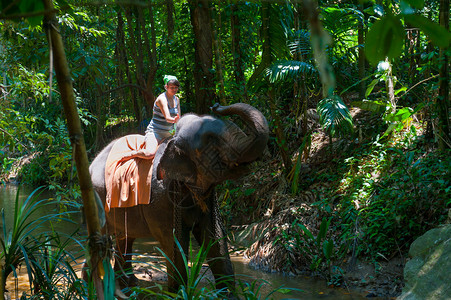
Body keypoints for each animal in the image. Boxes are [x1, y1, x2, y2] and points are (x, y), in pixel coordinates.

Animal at [90, 103, 270, 292]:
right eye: (212, 144)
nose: (216, 105)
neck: (173, 141)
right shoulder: (158, 201)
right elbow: (174, 242)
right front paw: (177, 293)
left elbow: (216, 238)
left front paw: (226, 292)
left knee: (125, 238)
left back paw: (128, 285)